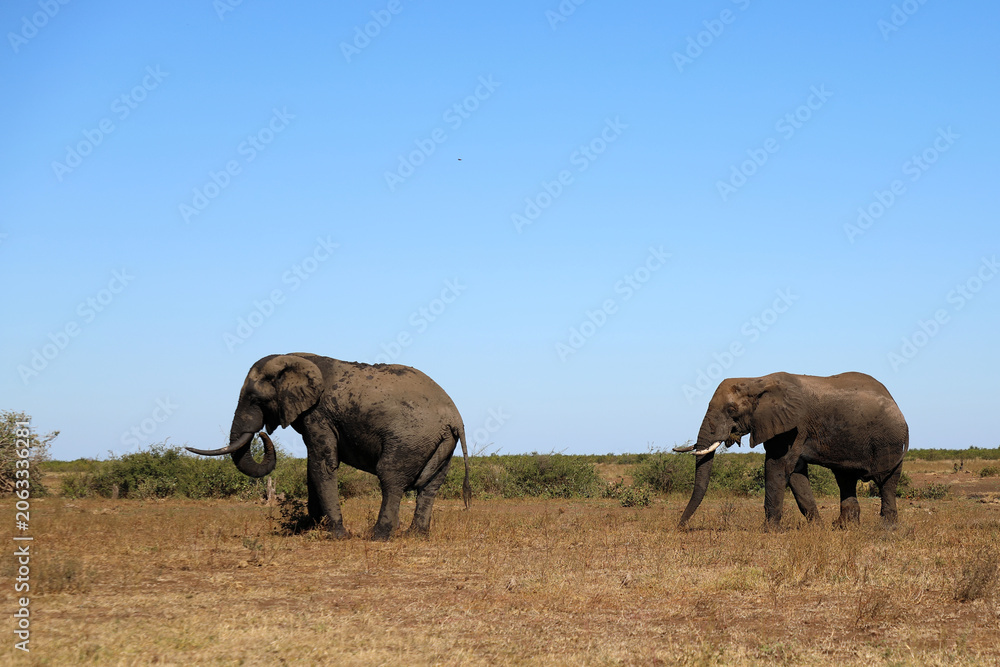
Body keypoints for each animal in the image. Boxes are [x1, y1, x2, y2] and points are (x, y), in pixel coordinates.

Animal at [186, 353, 471, 540]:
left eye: (256, 399)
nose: (263, 433)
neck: (294, 358)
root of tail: (455, 418)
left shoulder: (318, 414)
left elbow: (322, 463)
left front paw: (336, 535)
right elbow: (312, 468)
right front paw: (308, 529)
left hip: (409, 437)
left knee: (390, 477)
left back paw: (378, 536)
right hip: (441, 443)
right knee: (430, 486)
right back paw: (416, 536)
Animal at [674, 372, 908, 528]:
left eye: (731, 410)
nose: (681, 526)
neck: (756, 380)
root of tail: (896, 403)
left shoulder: (794, 426)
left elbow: (777, 467)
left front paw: (769, 531)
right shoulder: (776, 426)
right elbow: (795, 473)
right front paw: (817, 529)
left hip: (890, 441)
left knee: (886, 481)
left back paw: (887, 528)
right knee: (846, 479)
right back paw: (843, 527)